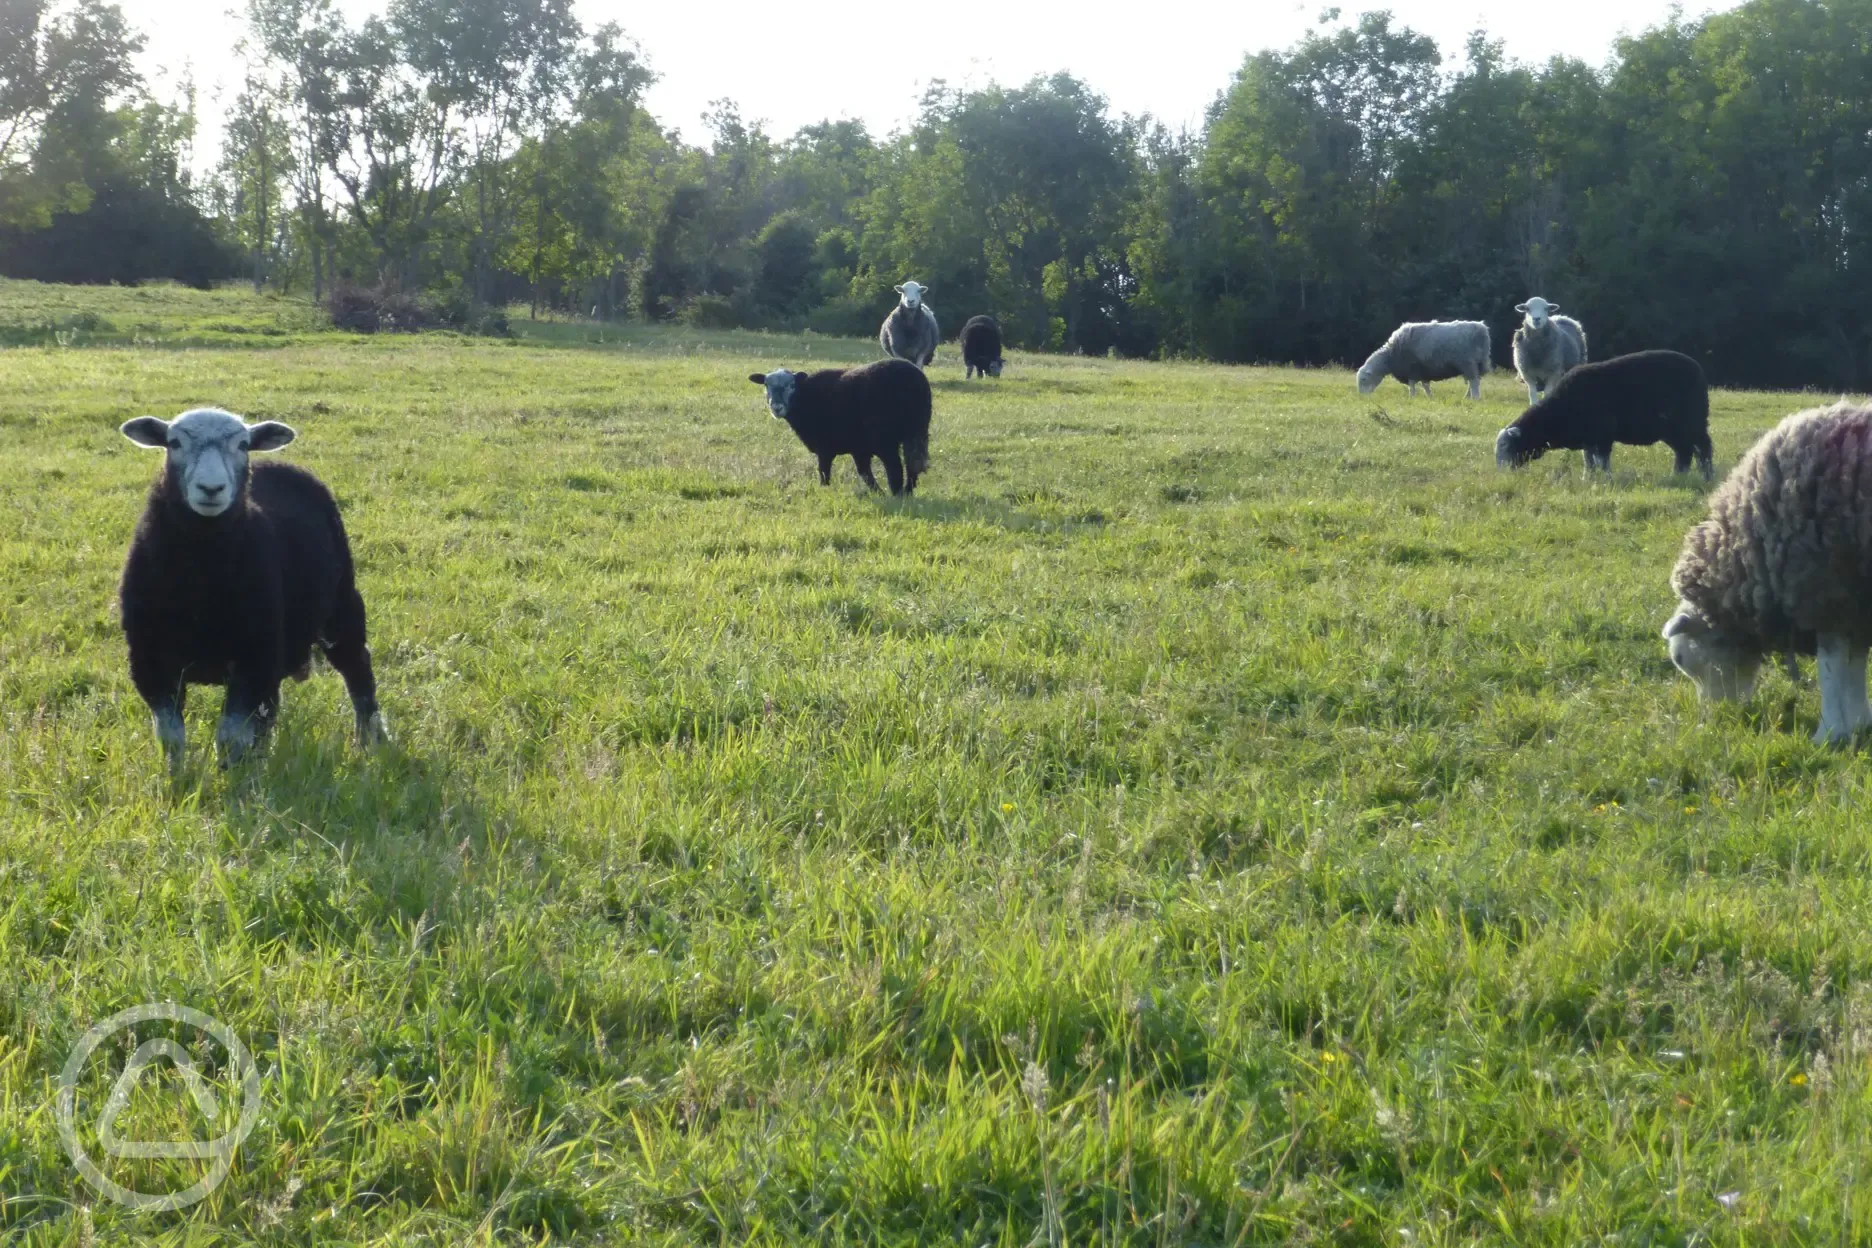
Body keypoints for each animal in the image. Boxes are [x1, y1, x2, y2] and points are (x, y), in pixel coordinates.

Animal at [118, 406, 385, 767]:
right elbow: (171, 737)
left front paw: (232, 778)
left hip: (341, 605)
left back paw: (371, 739)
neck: (201, 576)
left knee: (357, 668)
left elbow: (229, 738)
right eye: (173, 443)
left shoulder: (253, 656)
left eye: (243, 444)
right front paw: (177, 778)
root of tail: (274, 464)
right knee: (270, 709)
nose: (211, 488)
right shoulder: (151, 661)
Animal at [737, 355, 928, 493]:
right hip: (917, 430)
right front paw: (878, 493)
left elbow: (824, 472)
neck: (805, 396)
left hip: (885, 438)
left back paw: (897, 494)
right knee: (914, 464)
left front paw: (824, 492)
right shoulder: (859, 448)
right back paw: (907, 492)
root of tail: (913, 379)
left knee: (895, 467)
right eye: (766, 385)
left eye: (791, 385)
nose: (776, 407)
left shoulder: (824, 447)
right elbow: (865, 473)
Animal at [1362, 319, 1490, 398]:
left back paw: (1475, 397)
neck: (1390, 356)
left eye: (1363, 379)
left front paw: (1411, 398)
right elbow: (1425, 386)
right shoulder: (1423, 370)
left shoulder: (1412, 369)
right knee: (1475, 381)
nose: (1363, 398)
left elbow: (1412, 386)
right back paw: (1467, 397)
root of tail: (1481, 328)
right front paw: (1430, 397)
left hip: (1468, 362)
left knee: (1474, 382)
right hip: (1478, 363)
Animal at [1490, 351, 1714, 478]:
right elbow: (1589, 461)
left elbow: (1602, 461)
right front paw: (1588, 479)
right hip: (1673, 430)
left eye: (1506, 446)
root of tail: (1699, 370)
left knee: (1702, 448)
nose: (1501, 473)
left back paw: (1703, 475)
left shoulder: (1603, 435)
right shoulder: (1588, 440)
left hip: (1691, 423)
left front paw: (1606, 480)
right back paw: (1680, 476)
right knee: (1685, 451)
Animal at [1662, 406, 1872, 748]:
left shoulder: (1822, 592)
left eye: (1679, 658)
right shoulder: (1853, 607)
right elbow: (1854, 666)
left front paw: (1827, 733)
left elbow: (1831, 670)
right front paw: (1858, 723)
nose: (1714, 719)